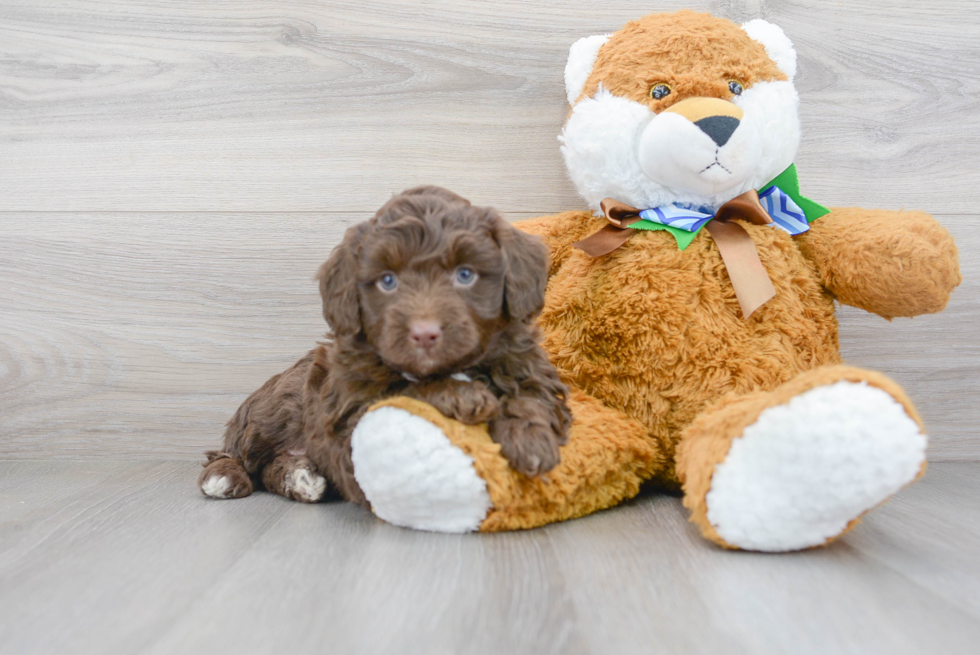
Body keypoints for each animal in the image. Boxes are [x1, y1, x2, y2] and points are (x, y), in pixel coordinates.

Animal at [196, 187, 572, 504]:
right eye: (388, 281)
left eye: (465, 274)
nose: (424, 333)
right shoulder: (346, 409)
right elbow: (400, 388)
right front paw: (463, 395)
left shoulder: (525, 364)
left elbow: (531, 397)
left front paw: (531, 439)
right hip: (272, 412)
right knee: (238, 454)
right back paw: (225, 477)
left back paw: (301, 477)